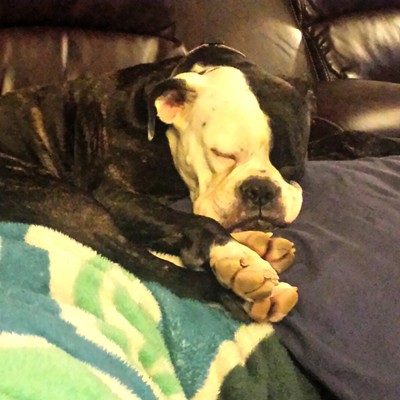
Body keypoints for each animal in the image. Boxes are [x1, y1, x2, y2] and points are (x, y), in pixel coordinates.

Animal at [0, 42, 312, 320]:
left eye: (292, 167)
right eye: (222, 154)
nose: (260, 190)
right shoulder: (115, 196)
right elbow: (198, 222)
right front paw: (234, 257)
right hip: (72, 202)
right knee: (152, 265)